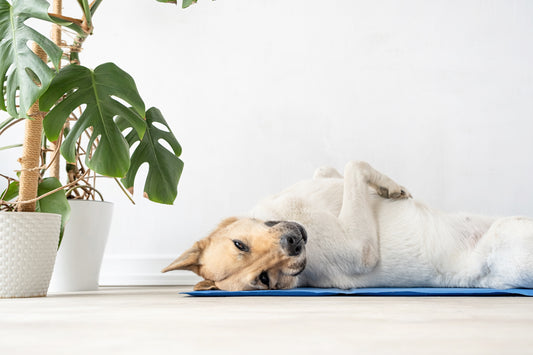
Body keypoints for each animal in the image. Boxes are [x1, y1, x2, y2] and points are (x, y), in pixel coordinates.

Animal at [161, 161, 532, 292]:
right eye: (264, 280)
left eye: (240, 244)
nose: (295, 242)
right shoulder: (361, 249)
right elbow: (356, 165)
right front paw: (390, 186)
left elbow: (334, 170)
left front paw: (385, 188)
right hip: (510, 231)